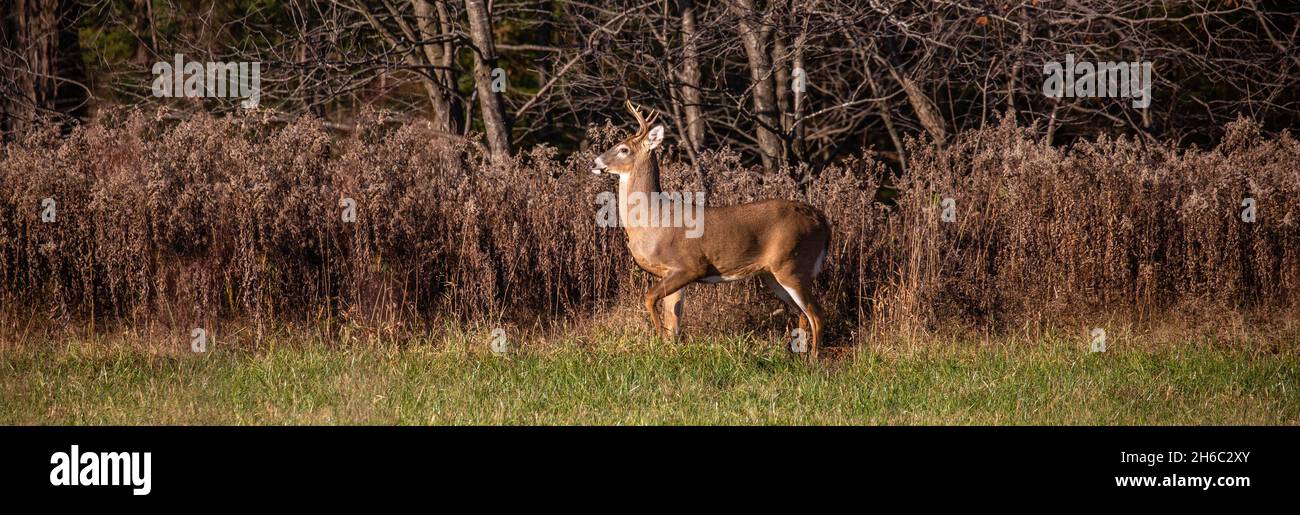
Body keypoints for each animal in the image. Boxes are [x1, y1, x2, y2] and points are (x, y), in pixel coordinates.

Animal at [592, 100, 832, 358]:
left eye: (623, 149)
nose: (593, 163)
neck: (652, 219)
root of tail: (823, 222)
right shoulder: (671, 273)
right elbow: (673, 322)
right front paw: (669, 351)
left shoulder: (689, 265)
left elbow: (649, 299)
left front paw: (657, 341)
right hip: (773, 274)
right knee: (802, 314)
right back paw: (799, 356)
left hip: (793, 265)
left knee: (817, 314)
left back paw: (813, 360)